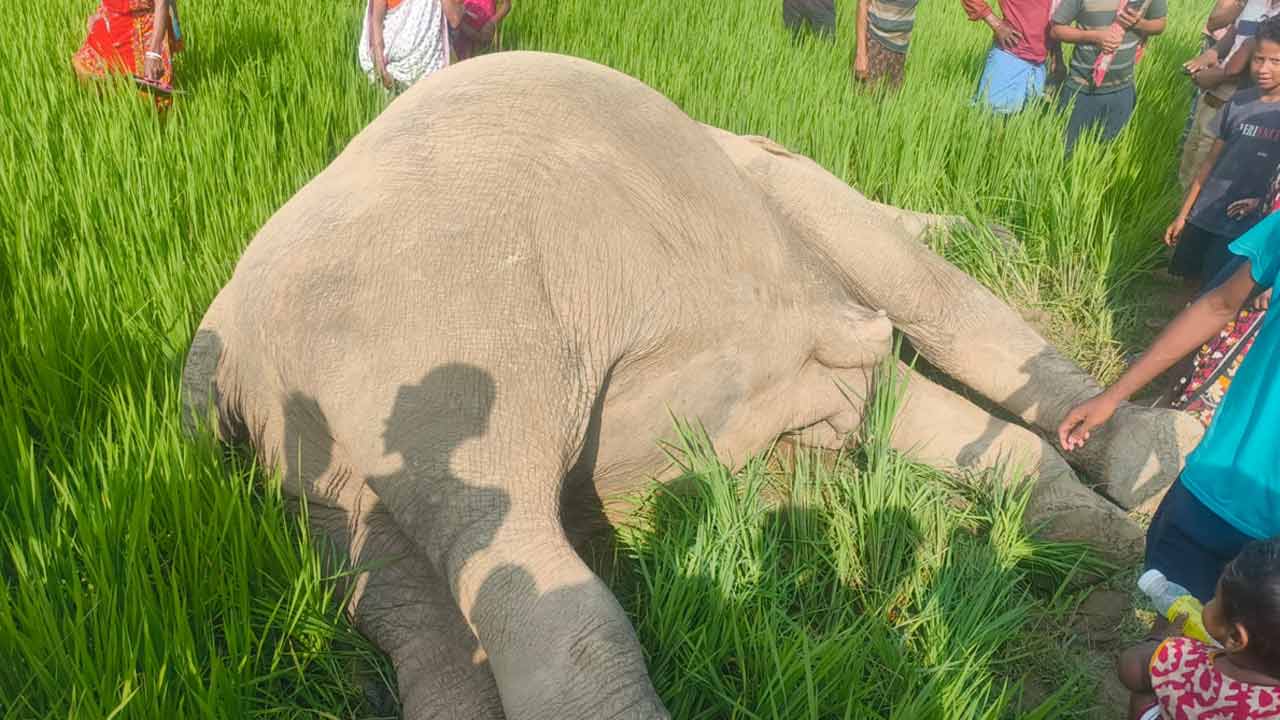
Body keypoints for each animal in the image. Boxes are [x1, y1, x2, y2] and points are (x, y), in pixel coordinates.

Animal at [181, 51, 1203, 720]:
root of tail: (224, 334)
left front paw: (1122, 540)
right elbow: (920, 341)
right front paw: (1140, 520)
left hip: (320, 460)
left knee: (404, 589)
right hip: (447, 341)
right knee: (518, 552)